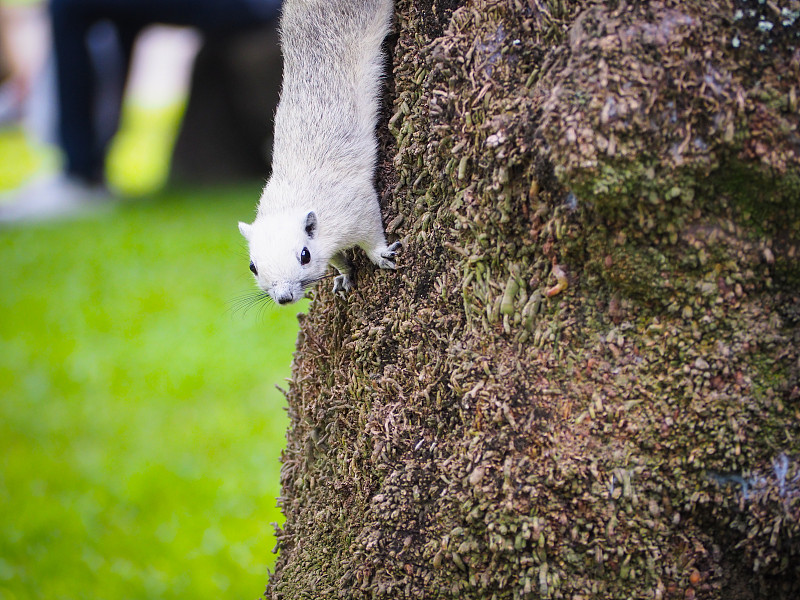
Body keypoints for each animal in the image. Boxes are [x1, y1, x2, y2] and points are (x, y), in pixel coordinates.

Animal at [238, 0, 400, 304]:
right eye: (253, 266)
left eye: (305, 255)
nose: (284, 298)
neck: (291, 200)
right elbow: (336, 259)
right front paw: (345, 272)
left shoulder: (356, 206)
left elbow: (371, 232)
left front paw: (381, 254)